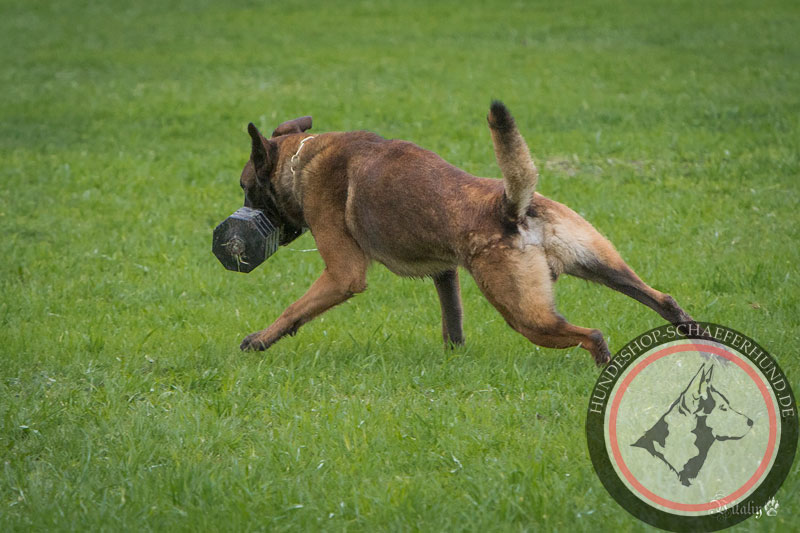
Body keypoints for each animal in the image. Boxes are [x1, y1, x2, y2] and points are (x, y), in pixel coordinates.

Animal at [234, 101, 692, 364]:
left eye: (244, 187)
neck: (301, 158)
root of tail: (511, 206)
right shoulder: (445, 271)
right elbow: (451, 321)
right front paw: (454, 360)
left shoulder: (342, 274)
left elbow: (293, 309)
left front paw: (258, 341)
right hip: (602, 265)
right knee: (664, 301)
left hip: (526, 315)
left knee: (592, 334)